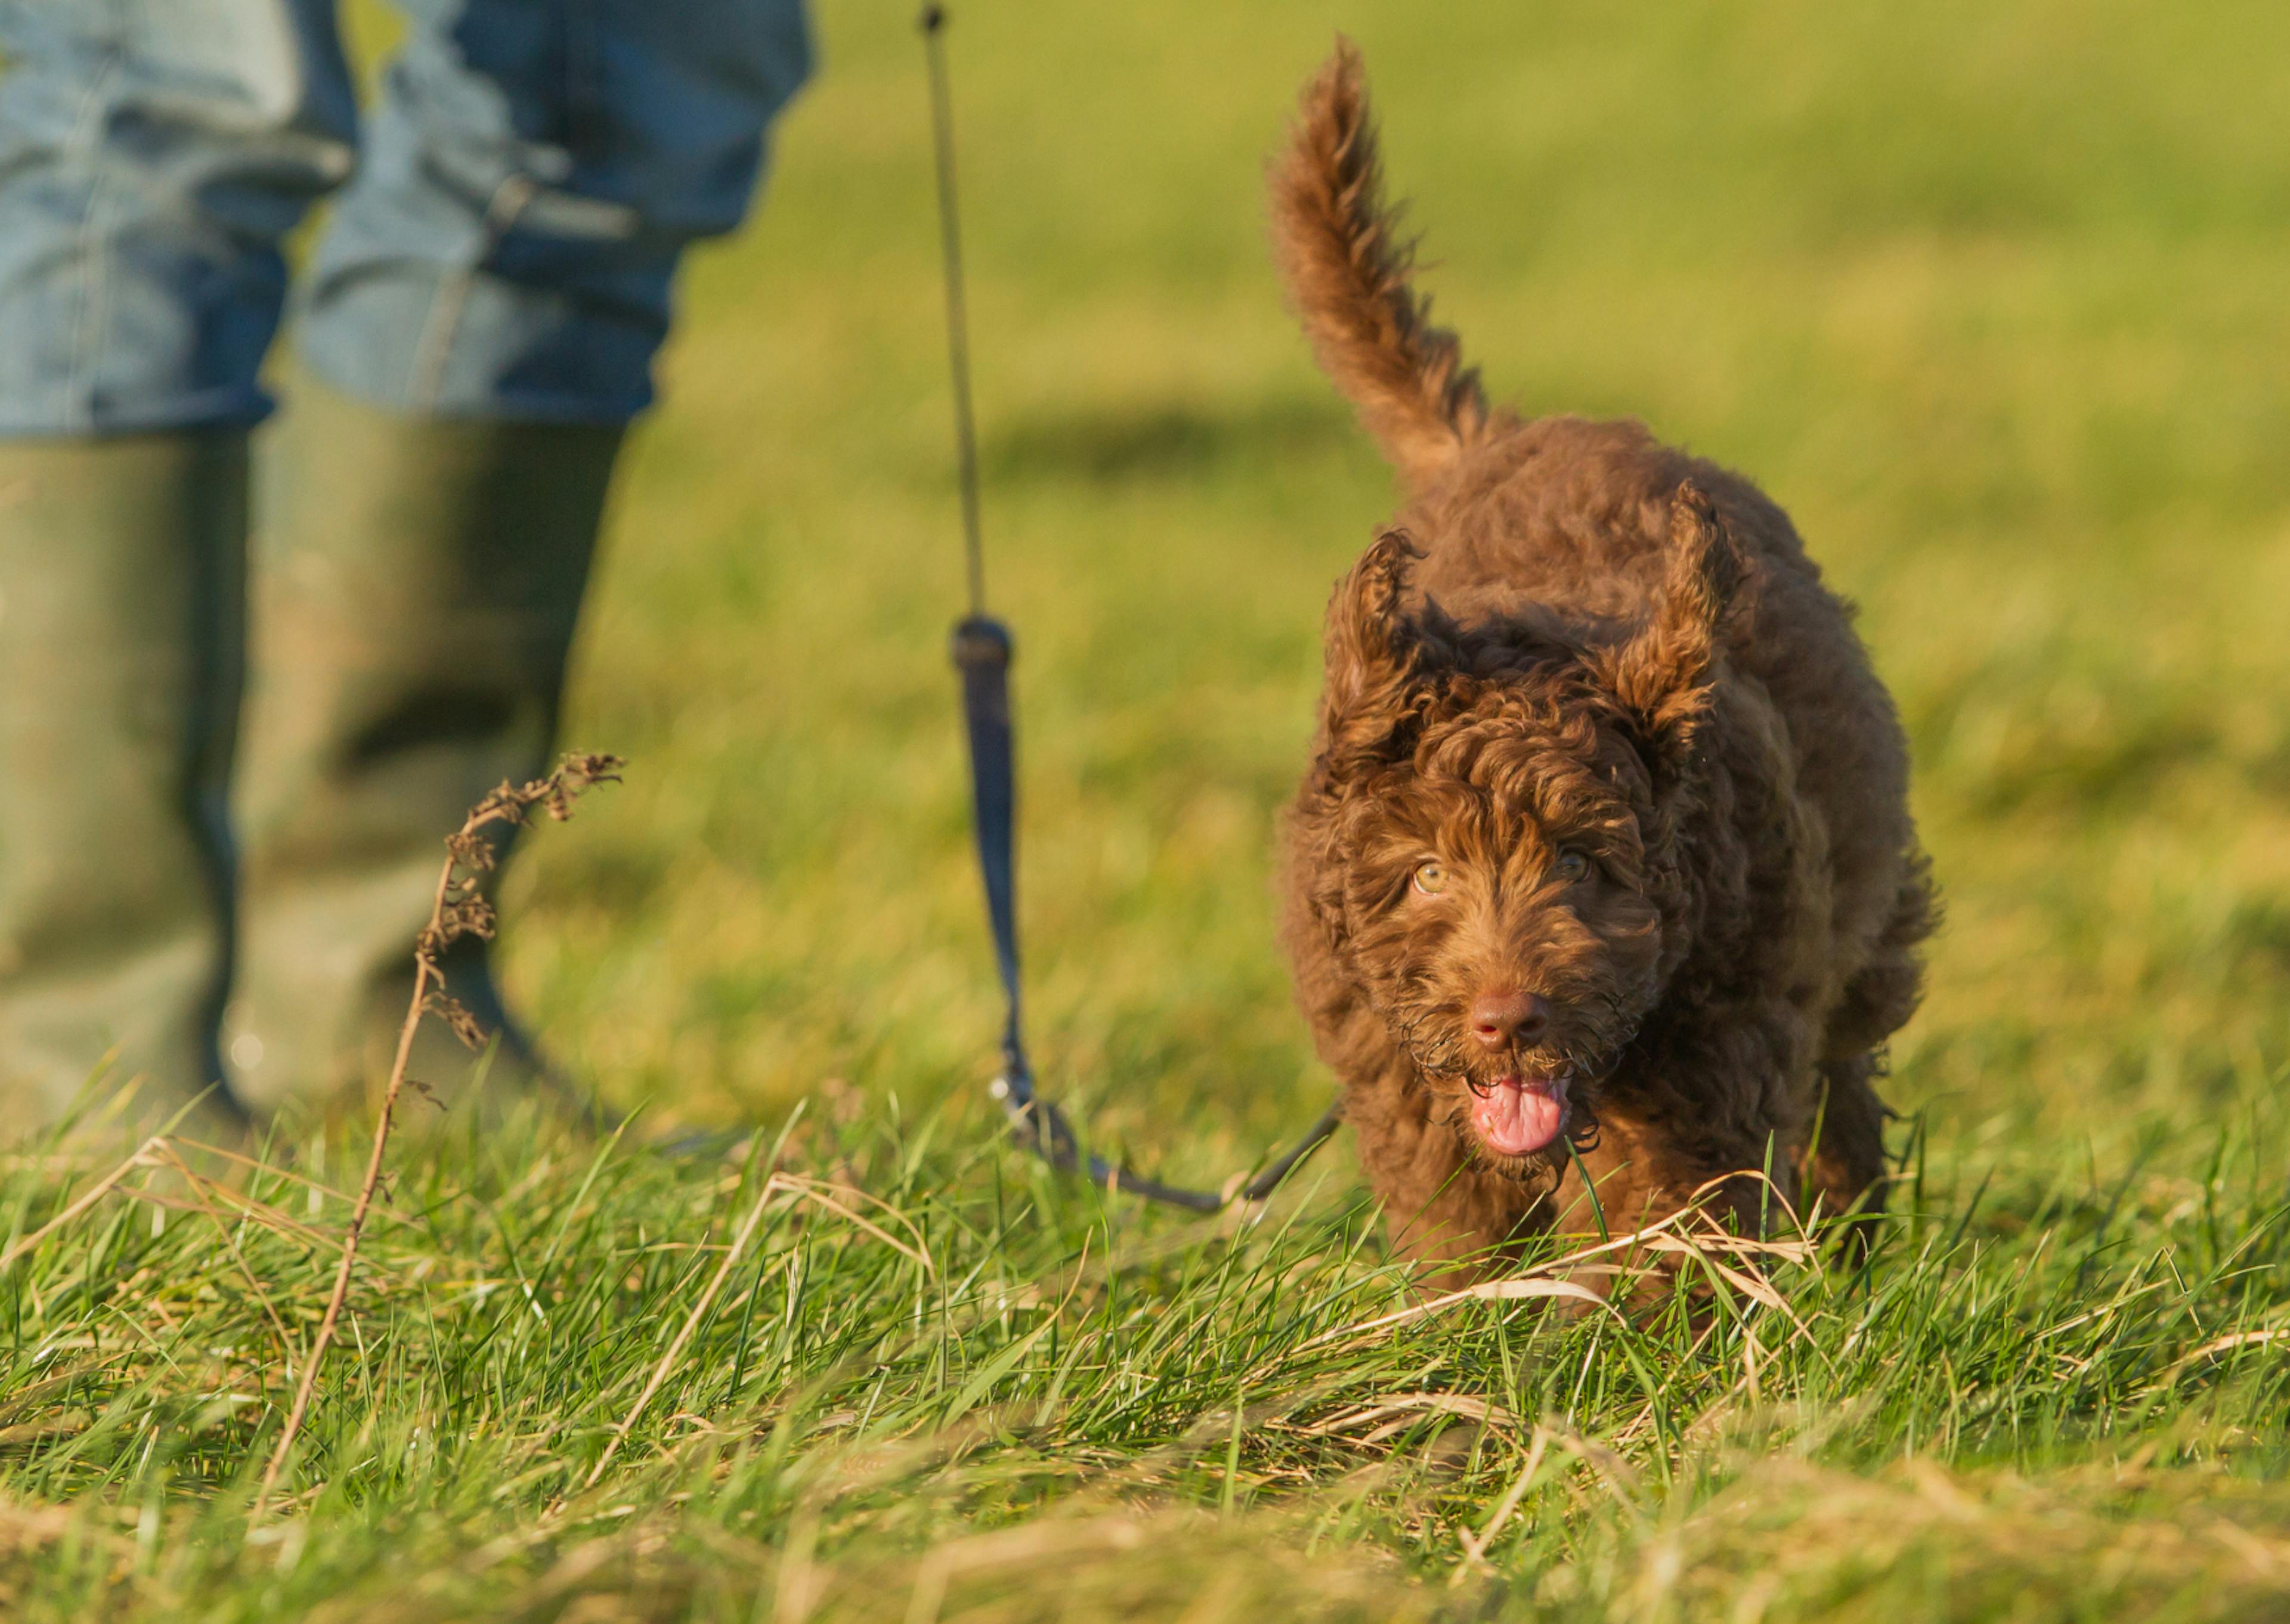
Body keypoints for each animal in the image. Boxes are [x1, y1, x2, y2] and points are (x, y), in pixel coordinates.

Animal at [1273, 41, 1932, 1282]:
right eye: (1425, 874)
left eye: (1582, 864)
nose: (1508, 1018)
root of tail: (1509, 433)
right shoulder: (1393, 1059)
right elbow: (1458, 1212)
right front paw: (1472, 1310)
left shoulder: (1720, 1023)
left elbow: (1675, 1203)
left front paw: (1657, 1315)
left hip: (1859, 929)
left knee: (1843, 1079)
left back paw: (1852, 1233)